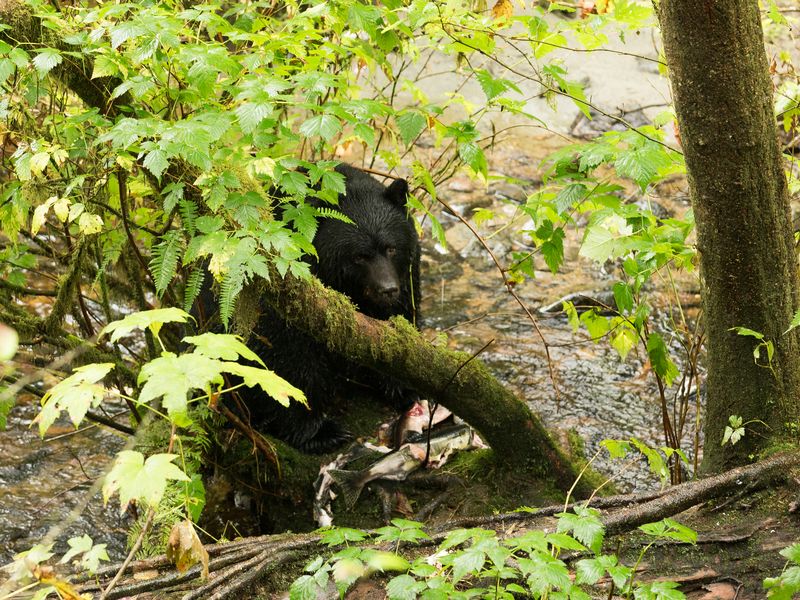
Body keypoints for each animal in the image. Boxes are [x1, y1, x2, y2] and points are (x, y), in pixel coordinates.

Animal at [236, 164, 421, 453]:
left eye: (391, 248)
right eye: (359, 256)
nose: (388, 289)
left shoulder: (407, 278)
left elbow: (399, 324)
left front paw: (404, 386)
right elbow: (287, 358)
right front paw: (320, 432)